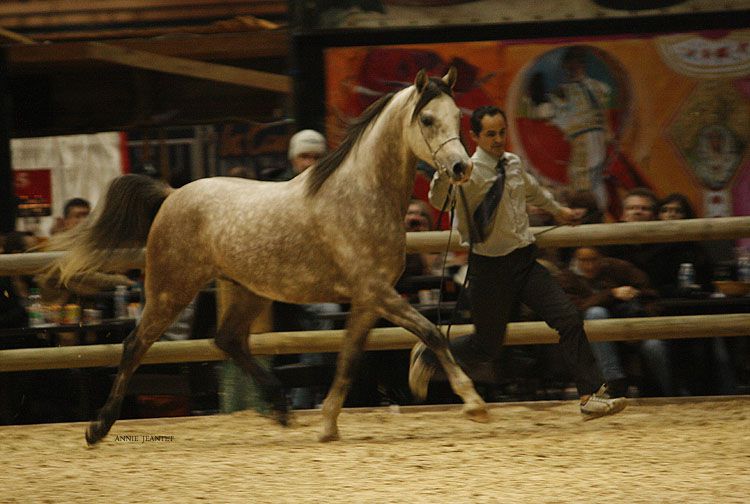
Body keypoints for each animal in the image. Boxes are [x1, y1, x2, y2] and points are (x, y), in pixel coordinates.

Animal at [46, 68, 489, 445]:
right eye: (427, 119)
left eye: (457, 116)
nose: (460, 167)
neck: (362, 194)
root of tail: (171, 195)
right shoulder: (377, 292)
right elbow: (431, 332)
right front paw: (472, 403)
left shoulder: (368, 299)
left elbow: (348, 358)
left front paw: (328, 425)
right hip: (171, 290)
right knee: (134, 345)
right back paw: (98, 427)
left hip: (248, 291)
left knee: (227, 340)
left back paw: (280, 408)